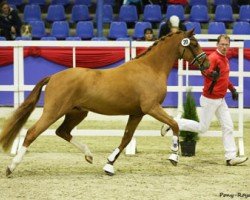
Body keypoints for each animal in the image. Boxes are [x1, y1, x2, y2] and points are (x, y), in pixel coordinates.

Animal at [0, 28, 209, 176]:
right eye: (194, 44)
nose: (206, 64)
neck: (151, 68)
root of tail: (54, 77)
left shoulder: (137, 113)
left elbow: (126, 139)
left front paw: (109, 165)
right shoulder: (151, 108)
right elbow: (174, 124)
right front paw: (173, 155)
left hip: (77, 112)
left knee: (63, 131)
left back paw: (89, 155)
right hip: (53, 111)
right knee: (32, 133)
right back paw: (11, 167)